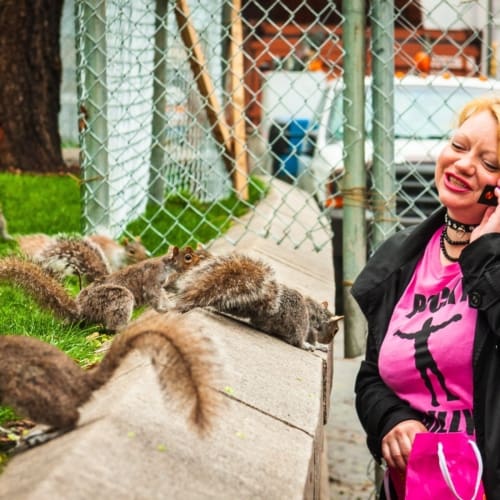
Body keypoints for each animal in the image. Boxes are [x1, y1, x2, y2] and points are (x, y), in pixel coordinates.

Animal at [0, 246, 208, 332]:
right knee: (112, 325)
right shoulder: (151, 280)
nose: (200, 260)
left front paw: (171, 305)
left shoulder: (161, 285)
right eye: (188, 257)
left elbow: (164, 295)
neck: (165, 265)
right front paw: (164, 310)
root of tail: (80, 311)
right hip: (118, 297)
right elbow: (154, 297)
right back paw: (123, 327)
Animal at [168, 252, 344, 350]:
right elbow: (310, 337)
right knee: (296, 339)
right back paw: (305, 346)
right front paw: (318, 346)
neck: (318, 314)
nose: (329, 341)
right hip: (299, 317)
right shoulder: (310, 326)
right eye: (335, 331)